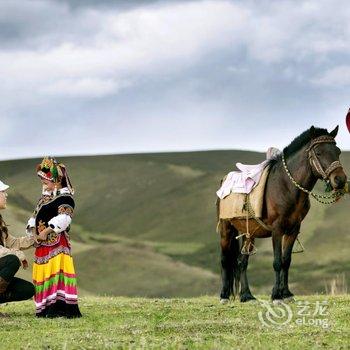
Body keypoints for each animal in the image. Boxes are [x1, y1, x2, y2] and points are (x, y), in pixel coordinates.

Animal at [217, 126, 346, 304]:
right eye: (319, 153)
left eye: (338, 151)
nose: (340, 180)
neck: (286, 186)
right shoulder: (277, 230)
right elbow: (277, 262)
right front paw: (276, 296)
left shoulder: (293, 230)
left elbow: (286, 261)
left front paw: (286, 294)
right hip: (226, 229)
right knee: (224, 260)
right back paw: (224, 296)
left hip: (249, 234)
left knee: (242, 262)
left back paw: (247, 295)